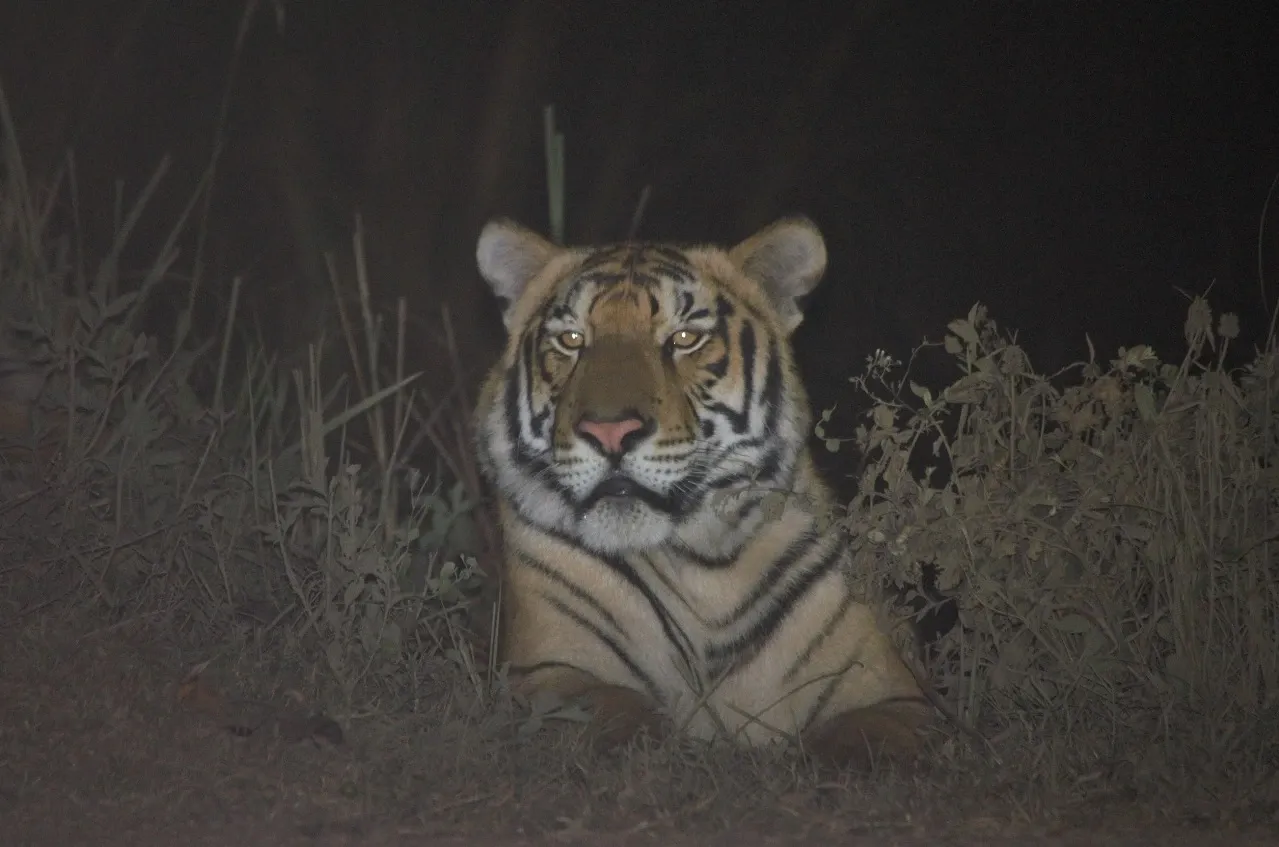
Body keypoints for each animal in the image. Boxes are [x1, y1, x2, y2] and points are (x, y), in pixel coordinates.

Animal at [473, 216, 931, 768]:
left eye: (684, 338)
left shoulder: (894, 692)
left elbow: (870, 736)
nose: (610, 432)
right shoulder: (547, 672)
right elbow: (611, 713)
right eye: (572, 339)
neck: (701, 565)